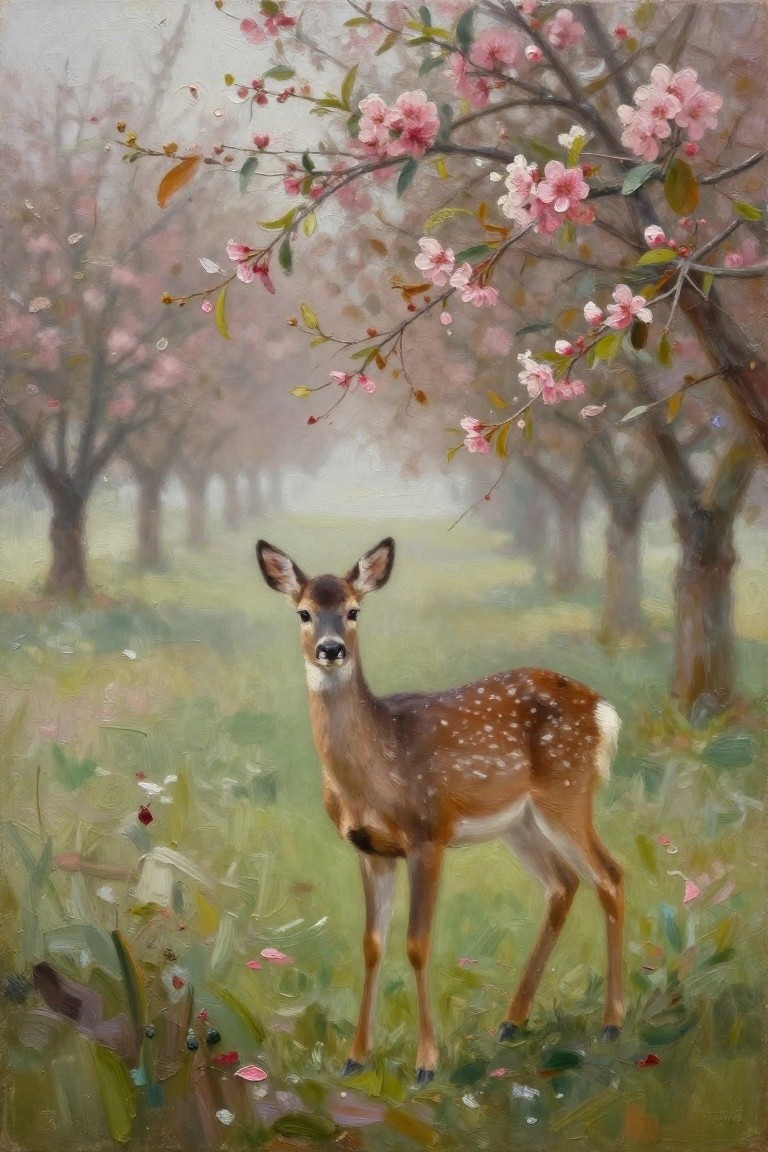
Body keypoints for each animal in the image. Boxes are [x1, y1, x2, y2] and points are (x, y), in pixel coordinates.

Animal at [256, 537, 624, 1084]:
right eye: (303, 612)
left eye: (354, 610)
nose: (331, 649)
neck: (375, 770)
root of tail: (605, 711)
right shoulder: (370, 849)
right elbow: (372, 944)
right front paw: (355, 1057)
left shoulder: (428, 835)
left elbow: (417, 943)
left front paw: (426, 1064)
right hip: (521, 823)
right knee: (563, 884)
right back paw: (511, 1022)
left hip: (567, 791)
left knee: (609, 875)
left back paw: (612, 1024)